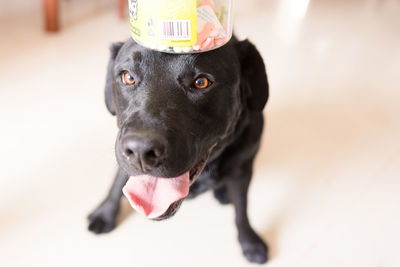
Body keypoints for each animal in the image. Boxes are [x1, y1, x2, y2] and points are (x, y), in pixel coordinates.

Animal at [87, 36, 268, 264]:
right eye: (128, 77)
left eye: (201, 82)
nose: (140, 151)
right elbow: (117, 183)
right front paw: (105, 213)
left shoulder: (243, 168)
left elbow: (242, 210)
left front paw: (249, 241)